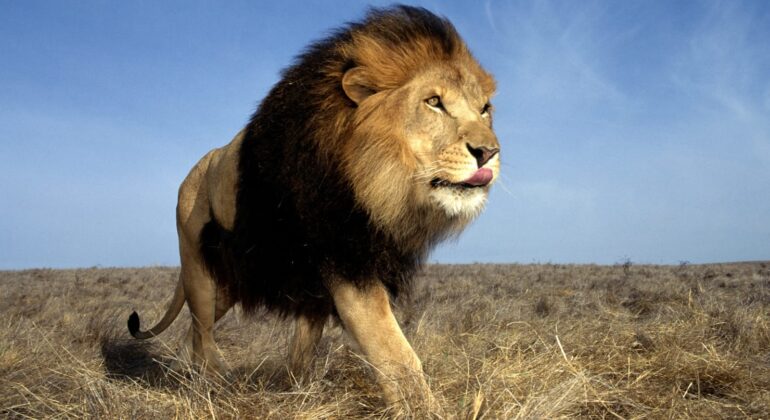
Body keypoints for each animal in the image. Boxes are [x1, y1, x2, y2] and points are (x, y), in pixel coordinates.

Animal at [127, 5, 499, 411]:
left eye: (484, 109)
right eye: (434, 102)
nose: (489, 153)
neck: (379, 183)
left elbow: (303, 350)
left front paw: (295, 391)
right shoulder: (348, 263)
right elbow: (397, 355)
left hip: (229, 281)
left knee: (195, 331)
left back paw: (184, 375)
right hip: (198, 268)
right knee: (203, 330)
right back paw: (212, 383)